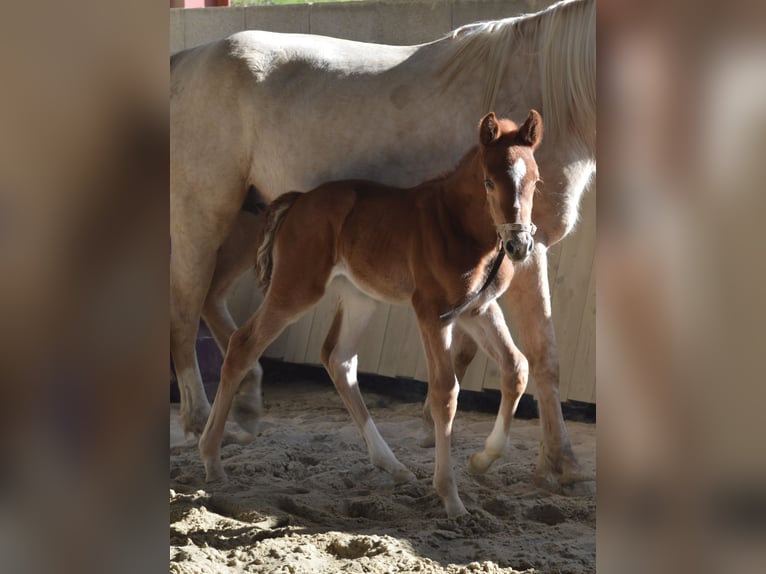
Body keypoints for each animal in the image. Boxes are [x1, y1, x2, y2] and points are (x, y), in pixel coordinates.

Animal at [199, 110, 543, 517]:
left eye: (535, 181)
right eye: (489, 181)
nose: (519, 245)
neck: (460, 227)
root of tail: (298, 201)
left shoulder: (478, 309)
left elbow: (516, 367)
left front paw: (481, 459)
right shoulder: (433, 312)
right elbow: (444, 392)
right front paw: (451, 498)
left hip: (360, 298)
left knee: (339, 359)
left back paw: (392, 466)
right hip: (297, 288)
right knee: (243, 344)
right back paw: (212, 460)